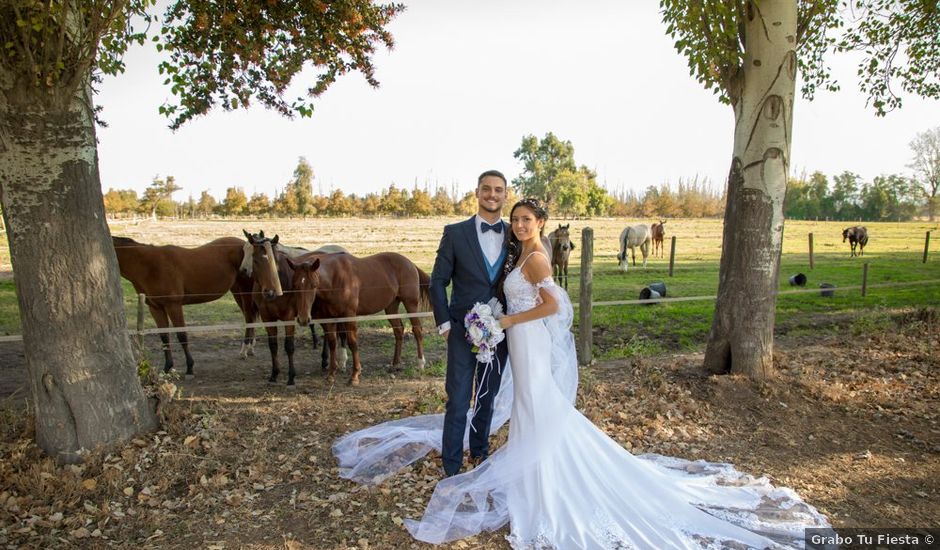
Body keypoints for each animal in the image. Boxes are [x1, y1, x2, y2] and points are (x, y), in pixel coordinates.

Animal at [111, 233, 258, 380]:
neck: (149, 266)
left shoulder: (173, 305)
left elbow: (182, 335)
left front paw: (189, 368)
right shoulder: (156, 308)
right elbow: (164, 337)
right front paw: (166, 368)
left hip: (245, 291)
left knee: (249, 318)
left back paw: (245, 350)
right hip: (236, 291)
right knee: (249, 318)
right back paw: (250, 348)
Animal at [246, 234, 324, 388]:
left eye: (275, 260)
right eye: (255, 260)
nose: (270, 292)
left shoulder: (289, 317)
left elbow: (289, 346)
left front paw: (291, 377)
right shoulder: (267, 318)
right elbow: (273, 345)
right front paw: (274, 375)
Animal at [316, 251, 434, 386]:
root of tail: (411, 264)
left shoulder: (348, 315)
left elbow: (350, 341)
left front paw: (353, 374)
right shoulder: (330, 318)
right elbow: (334, 341)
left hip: (410, 304)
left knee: (417, 330)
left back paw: (420, 363)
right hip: (391, 307)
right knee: (398, 331)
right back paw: (395, 364)